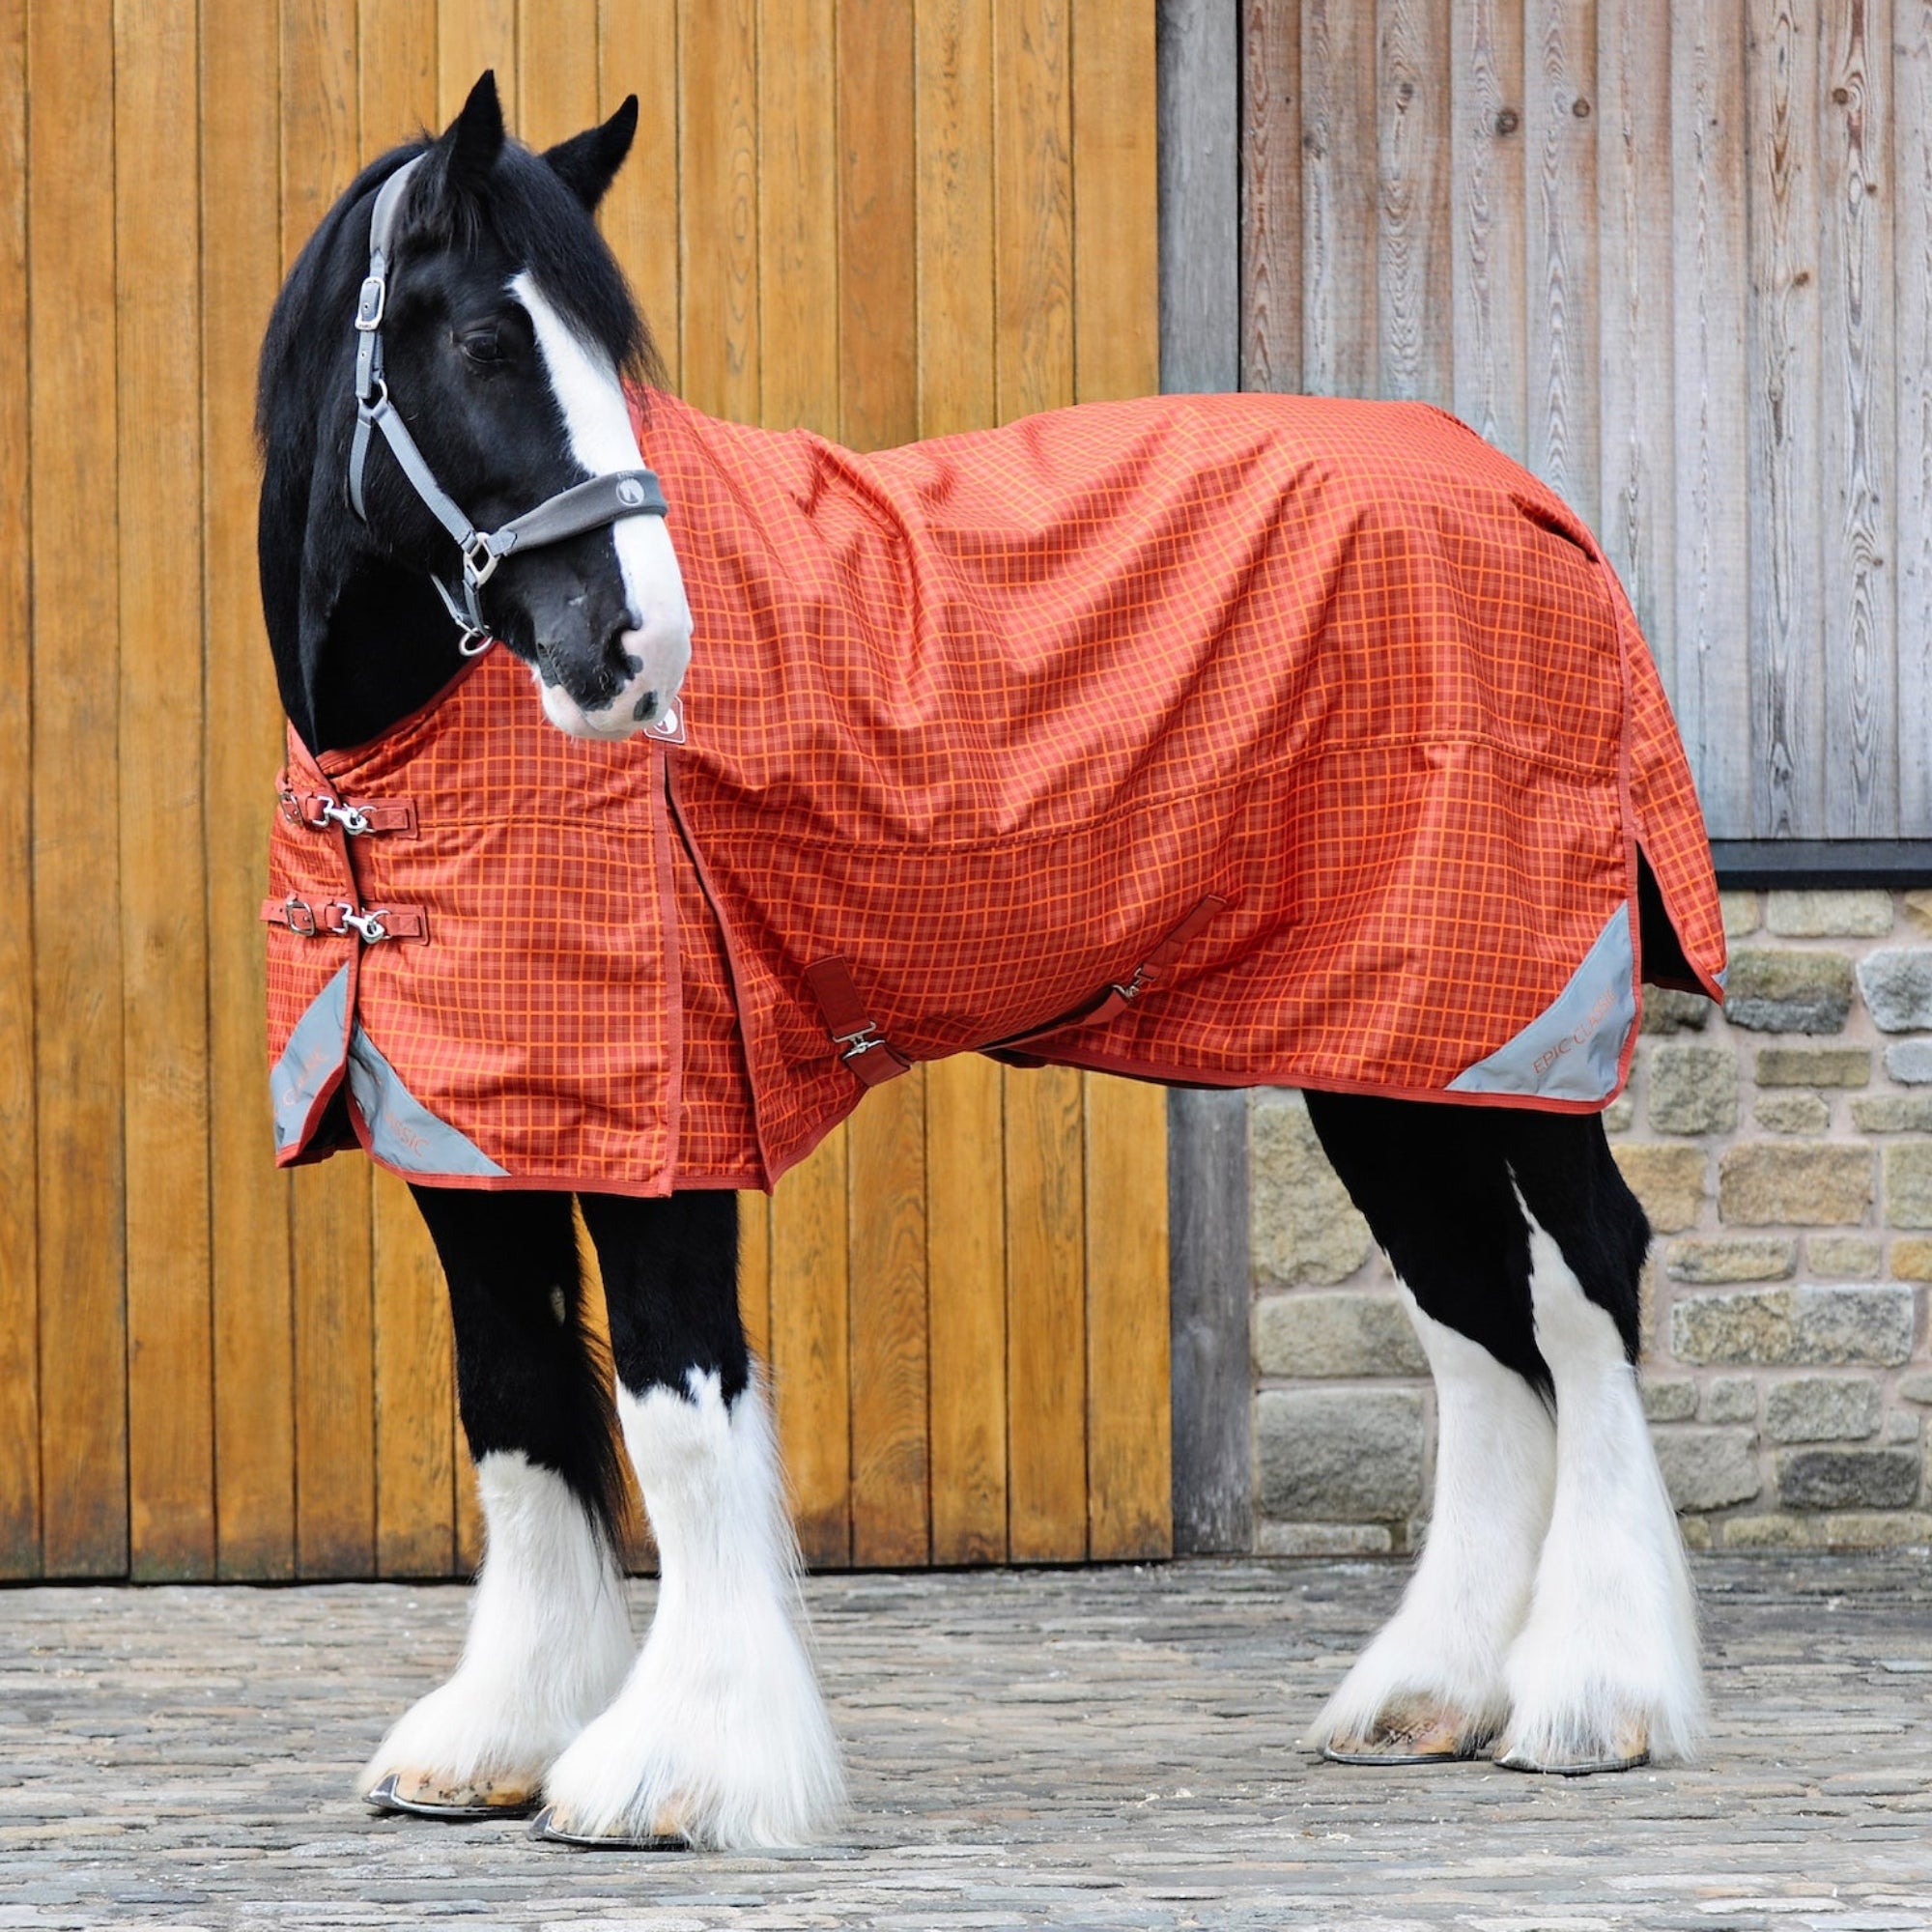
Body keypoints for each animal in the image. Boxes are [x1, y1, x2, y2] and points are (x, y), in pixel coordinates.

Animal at [254, 72, 1714, 1850]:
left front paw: (687, 1768)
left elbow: (676, 1411)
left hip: (1513, 1035)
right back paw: (1431, 1694)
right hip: (1386, 1054)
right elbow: (520, 1405)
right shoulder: (473, 1132)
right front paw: (501, 1738)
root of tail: (1529, 502)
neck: (406, 774)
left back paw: (1596, 1700)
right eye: (481, 343)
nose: (639, 649)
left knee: (1586, 1282)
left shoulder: (670, 1123)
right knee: (1479, 1318)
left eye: (615, 362)